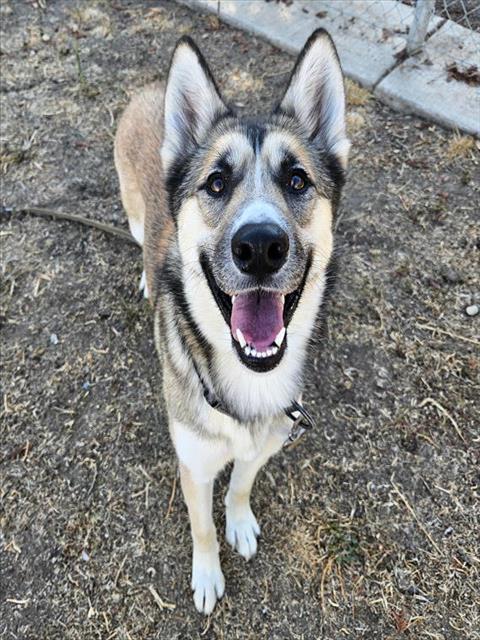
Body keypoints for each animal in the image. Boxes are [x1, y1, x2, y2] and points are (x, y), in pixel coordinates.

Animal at [116, 28, 348, 616]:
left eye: (297, 180)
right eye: (217, 183)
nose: (260, 246)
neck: (248, 383)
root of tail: (151, 87)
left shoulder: (264, 445)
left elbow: (241, 485)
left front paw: (239, 524)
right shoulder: (195, 465)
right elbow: (201, 528)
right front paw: (207, 576)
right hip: (132, 214)